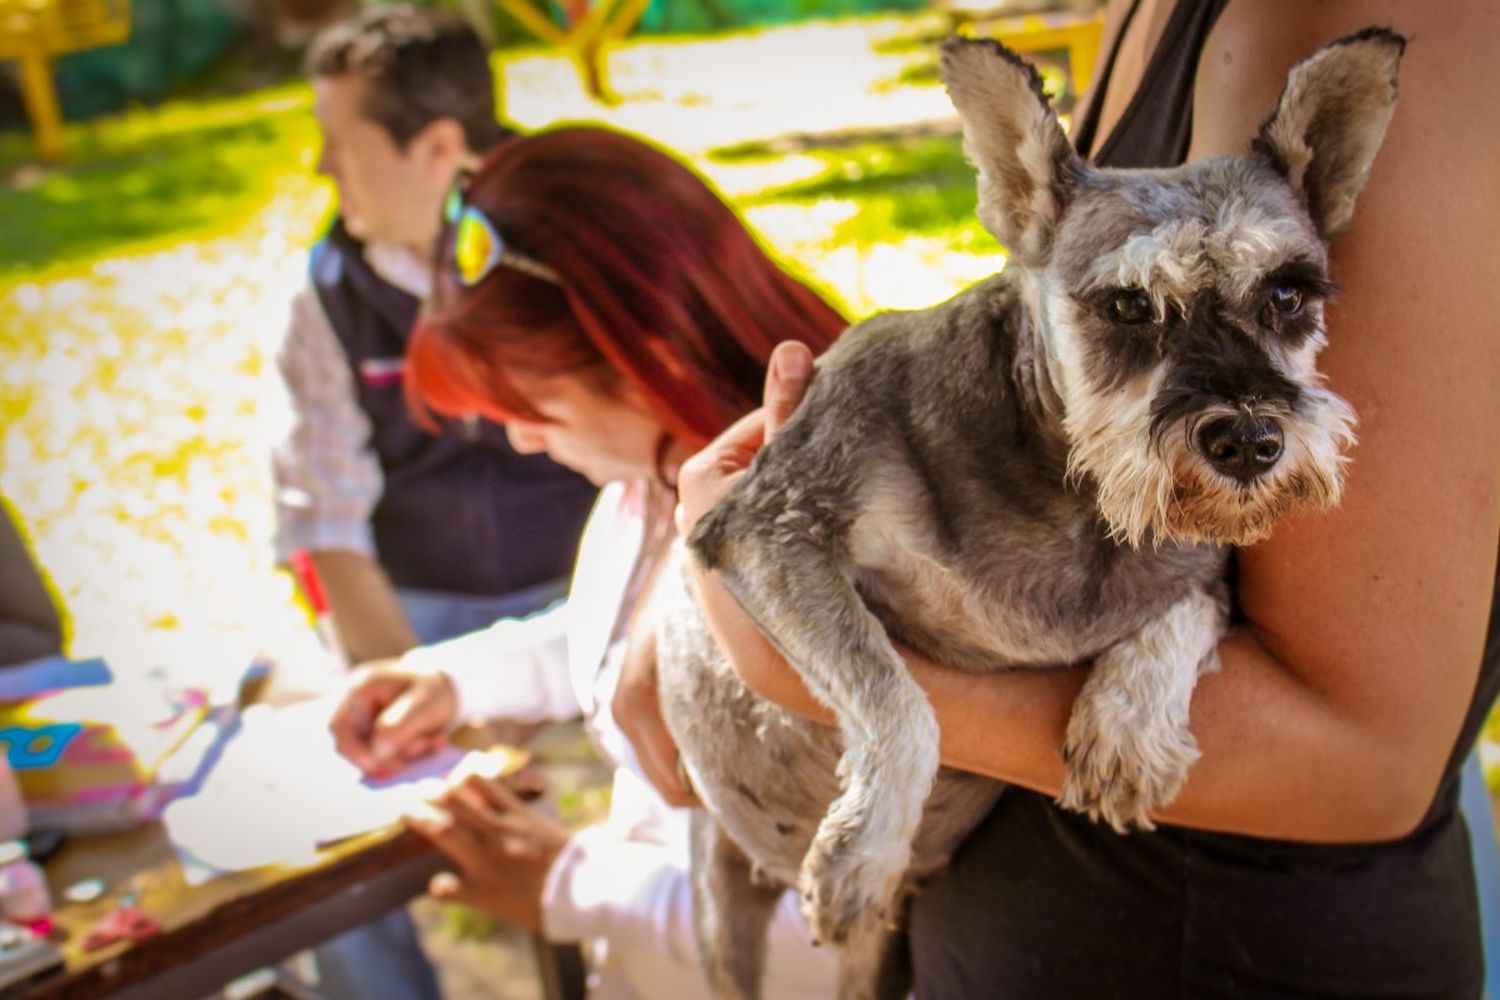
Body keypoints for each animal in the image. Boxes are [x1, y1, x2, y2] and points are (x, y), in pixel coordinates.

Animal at [657, 27, 1404, 995]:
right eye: (1127, 305)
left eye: (1288, 294)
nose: (1249, 442)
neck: (1074, 497)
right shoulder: (772, 529)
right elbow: (897, 702)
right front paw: (862, 855)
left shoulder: (1209, 577)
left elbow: (1179, 618)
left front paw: (1125, 730)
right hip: (721, 908)